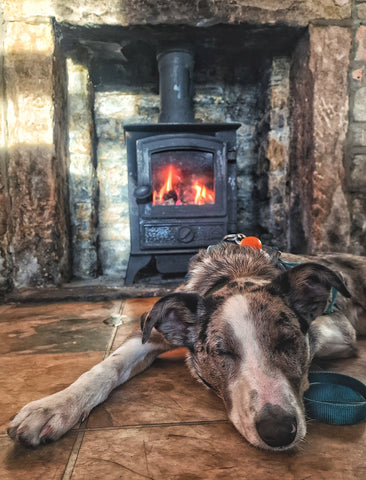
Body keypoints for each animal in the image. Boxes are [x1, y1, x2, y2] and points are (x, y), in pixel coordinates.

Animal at [6, 244, 366, 450]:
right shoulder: (152, 330)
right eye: (222, 352)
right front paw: (52, 407)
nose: (279, 431)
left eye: (288, 341)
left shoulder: (340, 329)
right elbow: (108, 366)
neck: (237, 269)